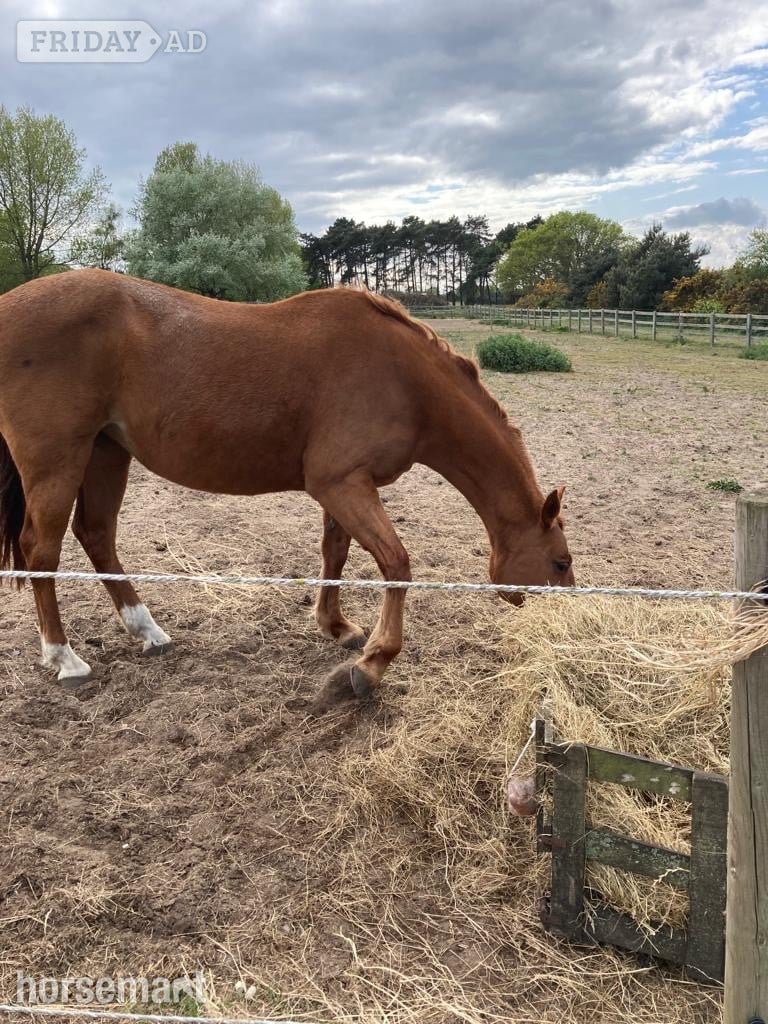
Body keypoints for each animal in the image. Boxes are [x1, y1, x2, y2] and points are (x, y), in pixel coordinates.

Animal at [0, 270, 574, 710]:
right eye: (561, 563)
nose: (564, 615)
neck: (403, 379)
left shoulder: (344, 486)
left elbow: (335, 552)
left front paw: (337, 627)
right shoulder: (341, 482)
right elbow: (396, 564)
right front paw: (369, 666)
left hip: (106, 451)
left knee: (97, 535)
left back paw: (148, 632)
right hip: (58, 459)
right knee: (42, 550)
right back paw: (65, 658)